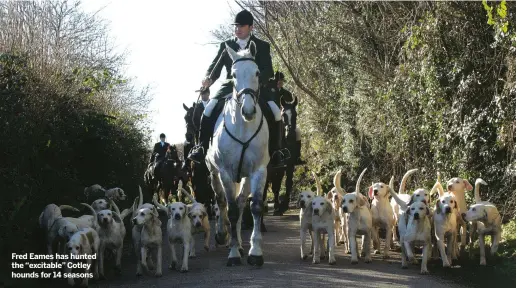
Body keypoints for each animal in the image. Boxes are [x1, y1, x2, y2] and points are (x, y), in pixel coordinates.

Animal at [206, 41, 270, 266]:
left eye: (257, 72)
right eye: (233, 75)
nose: (248, 111)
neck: (243, 126)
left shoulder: (258, 170)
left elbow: (256, 207)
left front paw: (255, 252)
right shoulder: (225, 172)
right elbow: (231, 210)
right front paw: (233, 252)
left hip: (244, 175)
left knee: (241, 202)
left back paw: (242, 245)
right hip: (214, 173)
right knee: (221, 200)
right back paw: (222, 234)